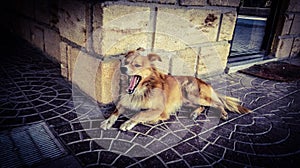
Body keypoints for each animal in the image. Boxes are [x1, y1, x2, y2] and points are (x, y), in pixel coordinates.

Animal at [101, 48, 251, 131]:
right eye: (126, 62)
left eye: (137, 65)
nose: (122, 68)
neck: (141, 90)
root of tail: (202, 81)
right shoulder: (124, 102)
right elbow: (115, 111)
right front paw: (108, 121)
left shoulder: (158, 109)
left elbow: (139, 114)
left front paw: (129, 122)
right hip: (186, 101)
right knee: (203, 106)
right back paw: (195, 113)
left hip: (192, 93)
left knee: (217, 103)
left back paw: (223, 113)